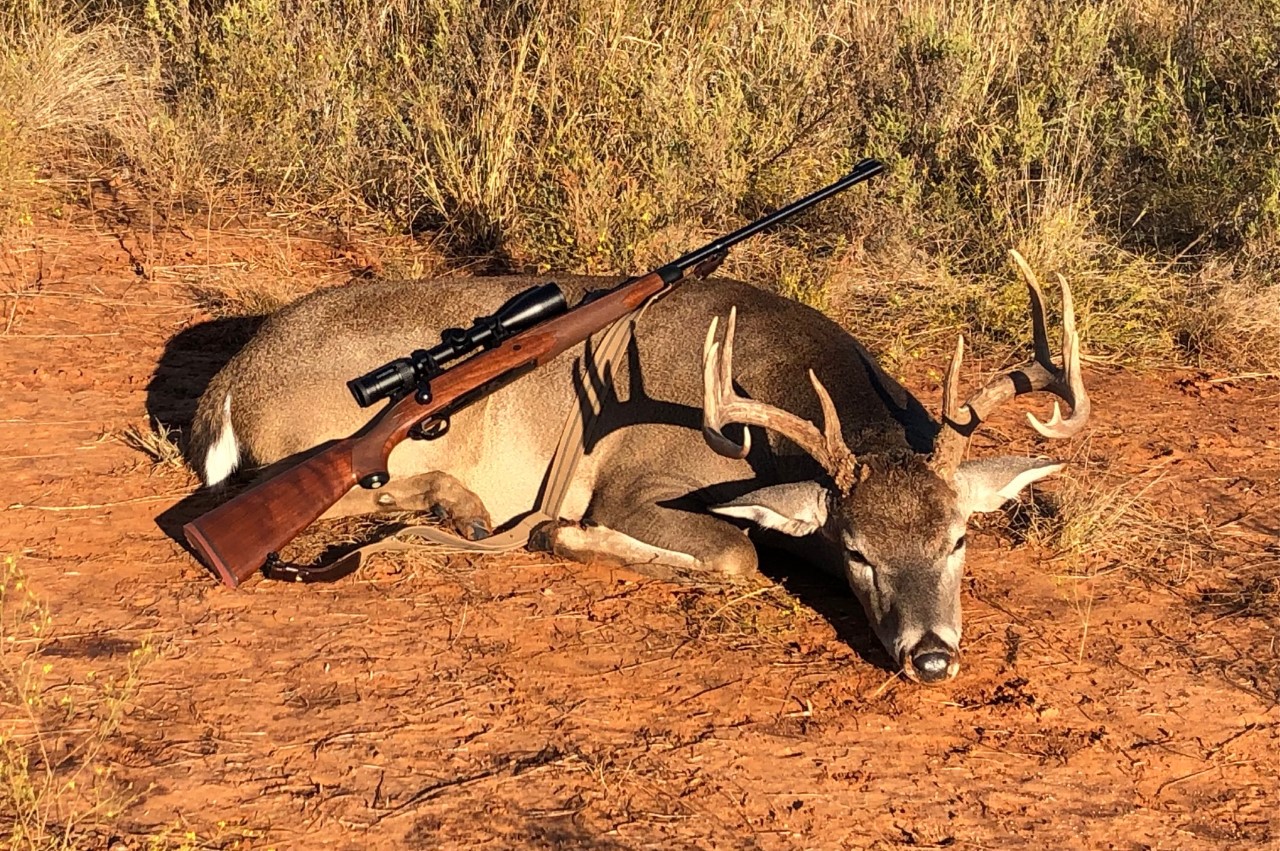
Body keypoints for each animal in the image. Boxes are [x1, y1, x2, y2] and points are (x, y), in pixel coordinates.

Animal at [192, 250, 1090, 685]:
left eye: (960, 540)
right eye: (856, 550)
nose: (931, 655)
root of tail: (231, 383)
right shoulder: (635, 481)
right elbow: (738, 551)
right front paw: (563, 534)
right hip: (334, 433)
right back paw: (466, 507)